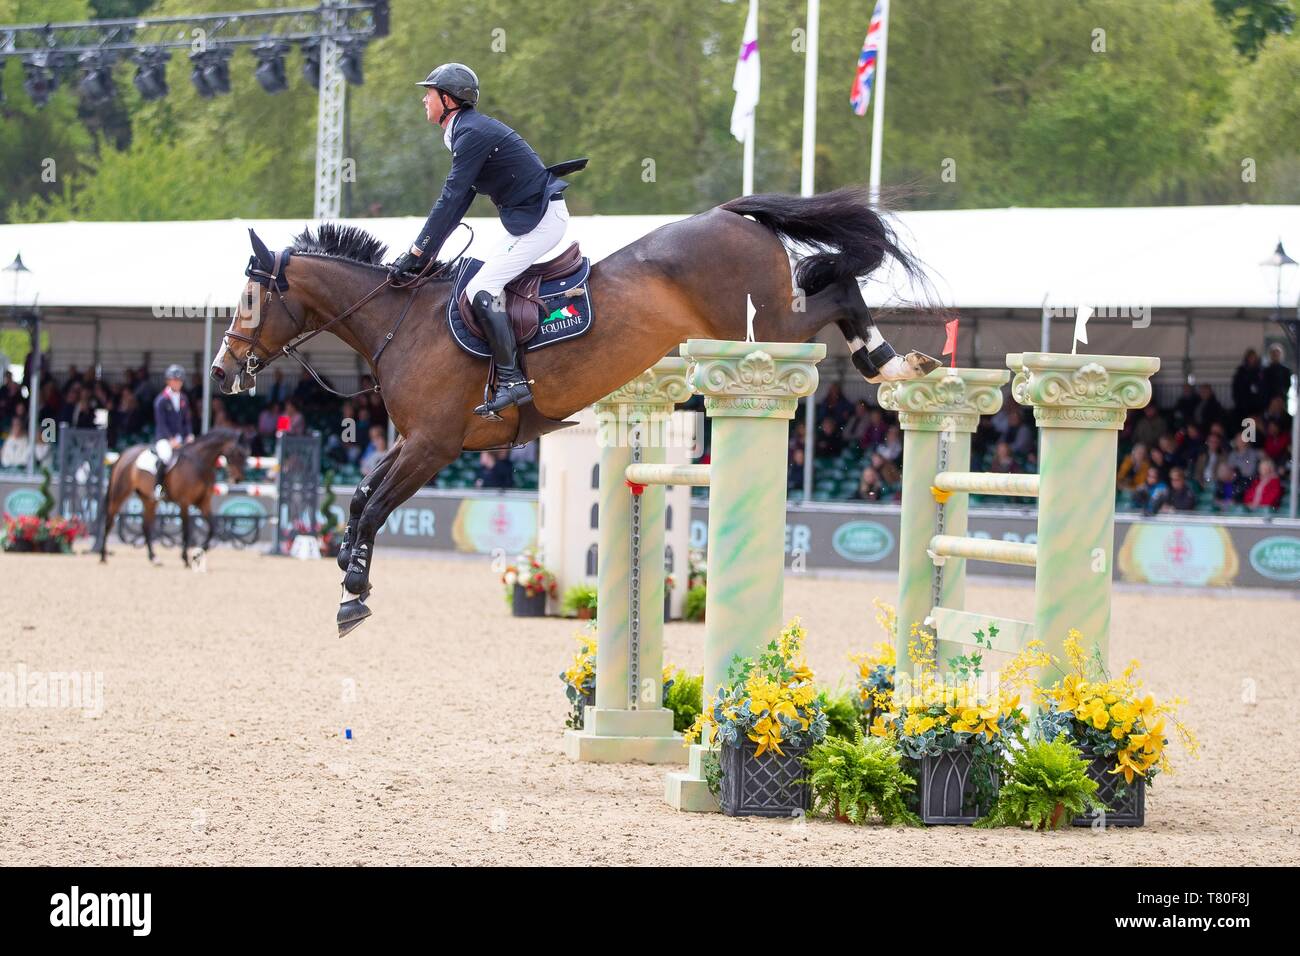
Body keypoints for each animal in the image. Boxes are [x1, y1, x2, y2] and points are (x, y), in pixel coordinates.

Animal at [100, 427, 250, 566]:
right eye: (237, 452)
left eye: (246, 454)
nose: (238, 479)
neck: (199, 463)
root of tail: (125, 453)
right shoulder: (184, 502)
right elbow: (186, 529)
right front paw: (186, 558)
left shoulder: (204, 502)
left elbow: (213, 528)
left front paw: (198, 554)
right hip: (120, 492)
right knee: (109, 520)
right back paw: (103, 556)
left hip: (149, 499)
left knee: (146, 526)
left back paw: (154, 558)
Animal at [210, 187, 940, 634]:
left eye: (248, 302)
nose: (219, 372)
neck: (401, 321)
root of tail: (732, 215)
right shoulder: (415, 439)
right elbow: (362, 496)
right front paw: (347, 573)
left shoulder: (434, 446)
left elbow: (376, 506)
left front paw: (354, 592)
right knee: (836, 282)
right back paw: (895, 363)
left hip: (767, 330)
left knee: (836, 286)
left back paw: (892, 364)